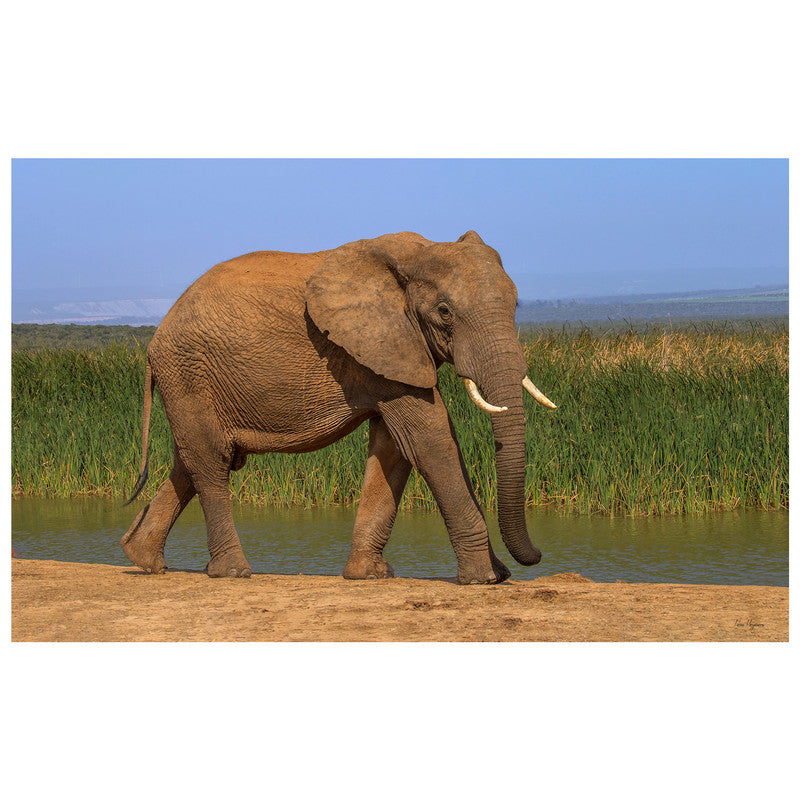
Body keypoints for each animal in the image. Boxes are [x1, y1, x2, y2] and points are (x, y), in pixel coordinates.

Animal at [121, 230, 556, 584]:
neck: (418, 252)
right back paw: (232, 572)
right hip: (187, 372)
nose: (536, 556)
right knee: (211, 460)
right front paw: (485, 579)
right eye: (445, 312)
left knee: (193, 459)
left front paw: (370, 575)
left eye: (516, 307)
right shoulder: (379, 343)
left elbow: (395, 447)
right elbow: (430, 439)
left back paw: (143, 559)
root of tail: (156, 338)